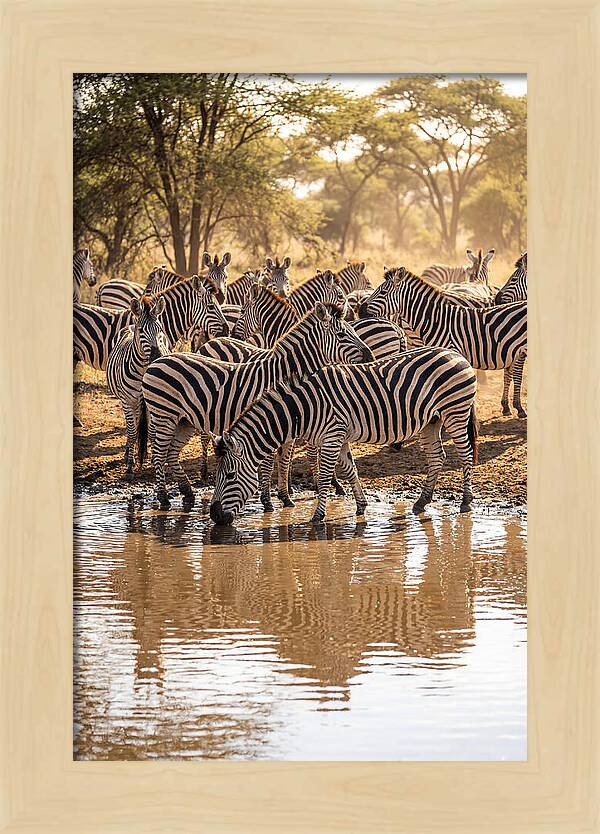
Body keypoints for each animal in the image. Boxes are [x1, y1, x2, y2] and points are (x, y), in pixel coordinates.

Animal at [107, 296, 170, 479]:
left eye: (160, 329)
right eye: (141, 331)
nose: (158, 357)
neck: (143, 371)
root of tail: (129, 325)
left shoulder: (154, 403)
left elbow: (152, 432)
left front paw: (156, 460)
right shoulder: (127, 401)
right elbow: (132, 431)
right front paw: (129, 466)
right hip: (129, 402)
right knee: (132, 427)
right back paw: (129, 452)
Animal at [138, 303, 374, 509]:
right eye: (342, 335)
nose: (370, 356)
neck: (283, 374)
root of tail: (156, 362)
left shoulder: (288, 423)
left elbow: (284, 460)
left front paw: (285, 498)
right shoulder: (270, 421)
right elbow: (269, 463)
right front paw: (267, 502)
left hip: (184, 421)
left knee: (171, 453)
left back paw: (187, 493)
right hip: (164, 415)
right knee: (159, 454)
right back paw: (164, 498)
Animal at [209, 346, 479, 525]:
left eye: (230, 475)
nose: (214, 516)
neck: (303, 408)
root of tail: (456, 354)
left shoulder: (331, 437)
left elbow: (324, 478)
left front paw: (317, 516)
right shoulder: (338, 437)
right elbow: (350, 470)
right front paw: (361, 506)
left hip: (455, 411)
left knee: (465, 454)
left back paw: (466, 501)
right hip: (431, 421)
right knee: (437, 457)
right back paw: (422, 501)